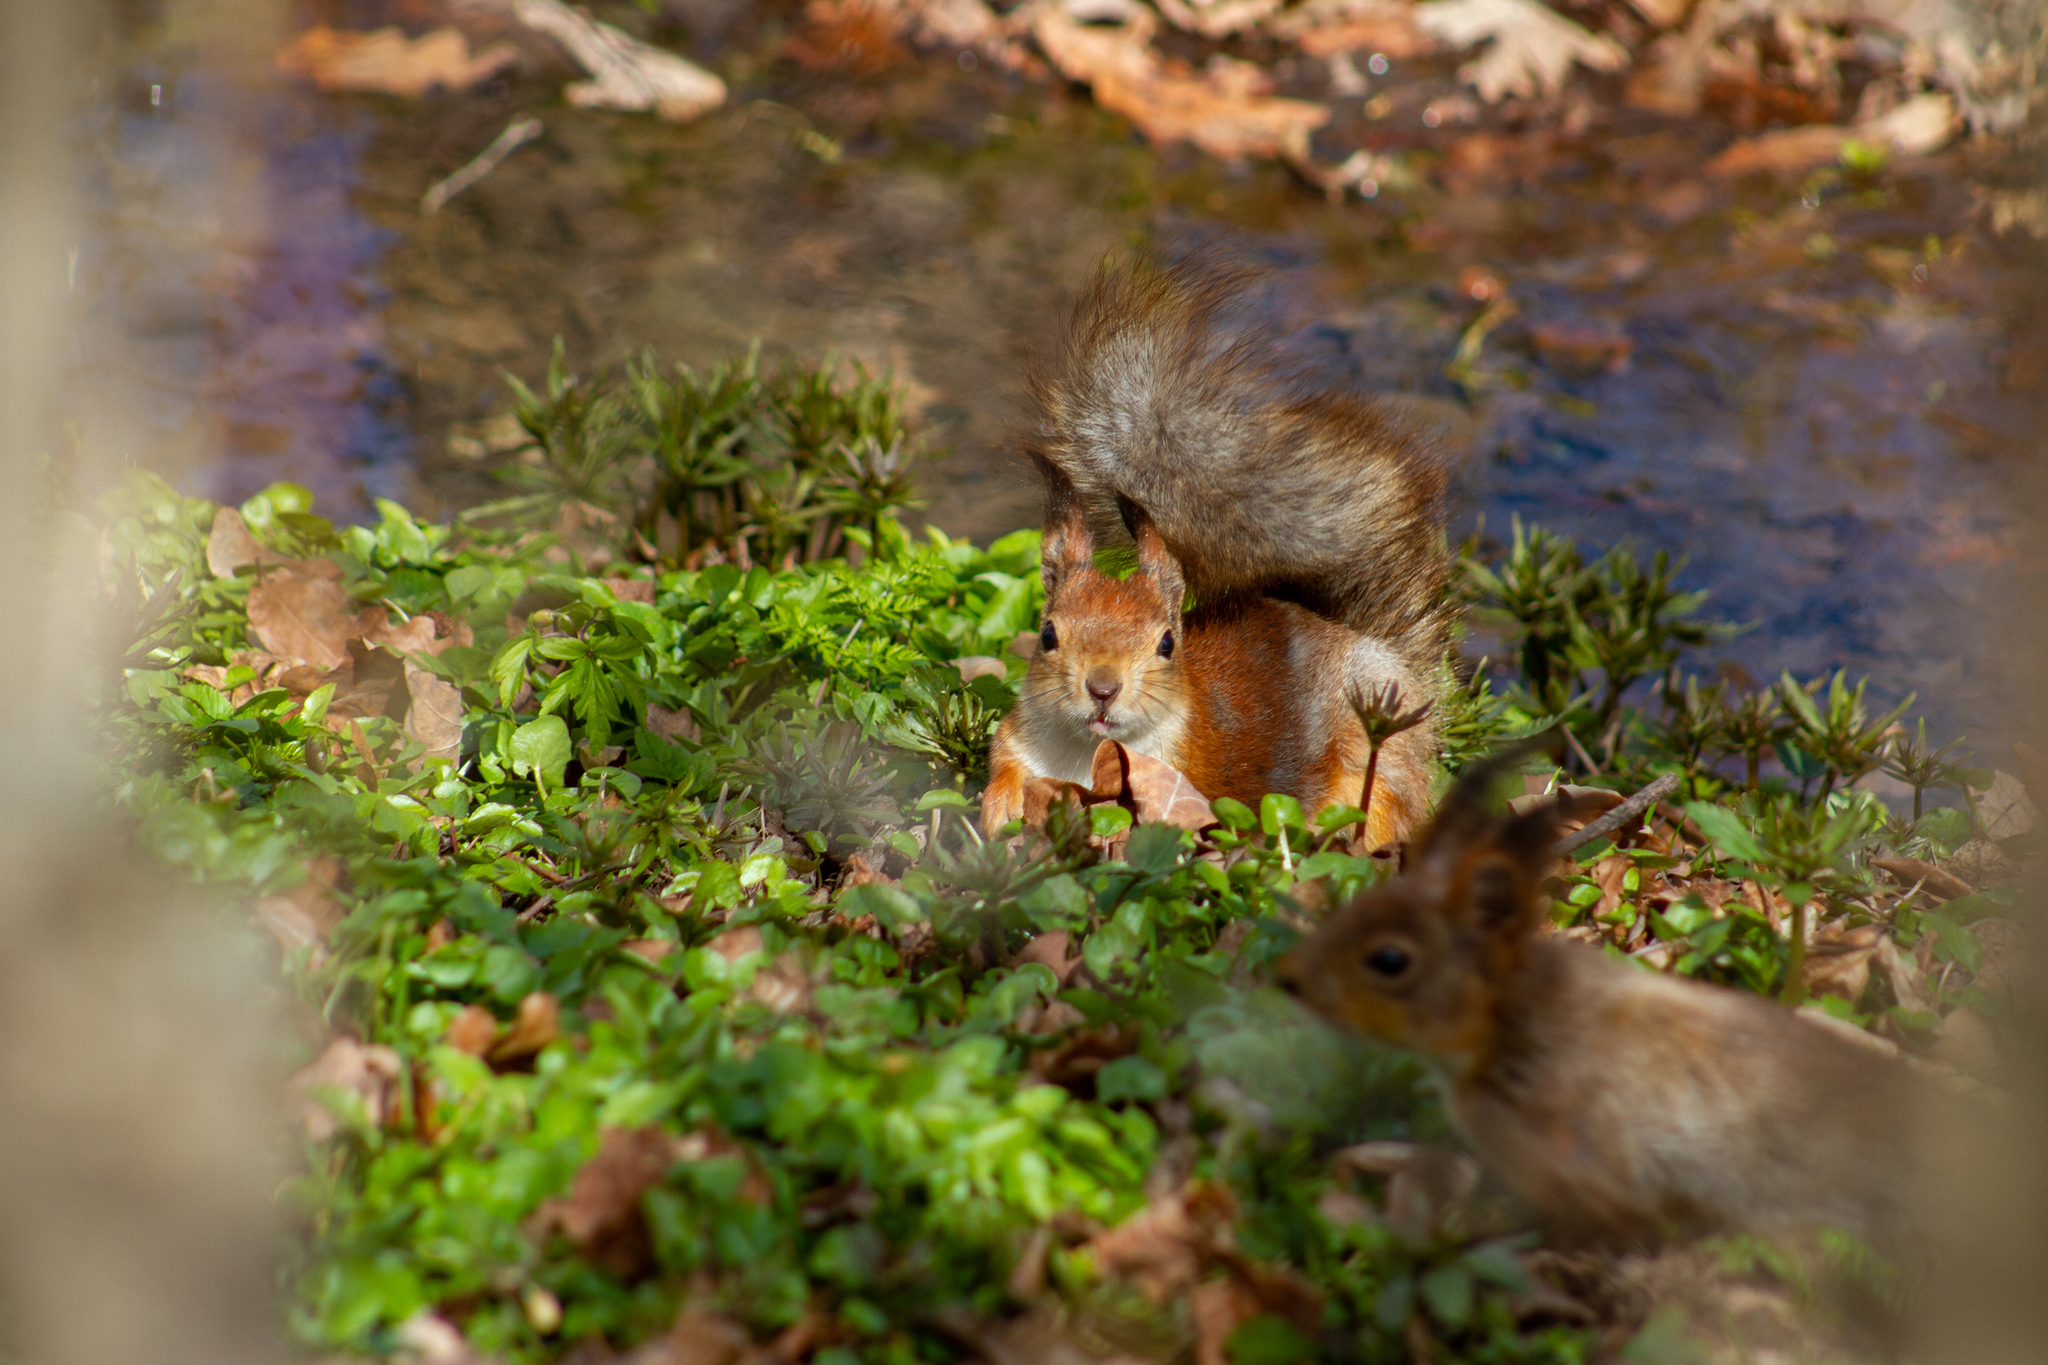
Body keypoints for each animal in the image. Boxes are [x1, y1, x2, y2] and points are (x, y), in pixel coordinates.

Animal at [978, 250, 1449, 839]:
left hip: (1378, 771)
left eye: (1166, 643)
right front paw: (999, 806)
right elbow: (1005, 766)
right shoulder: (1019, 741)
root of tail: (1369, 645)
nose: (1103, 688)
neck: (1085, 755)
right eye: (1046, 635)